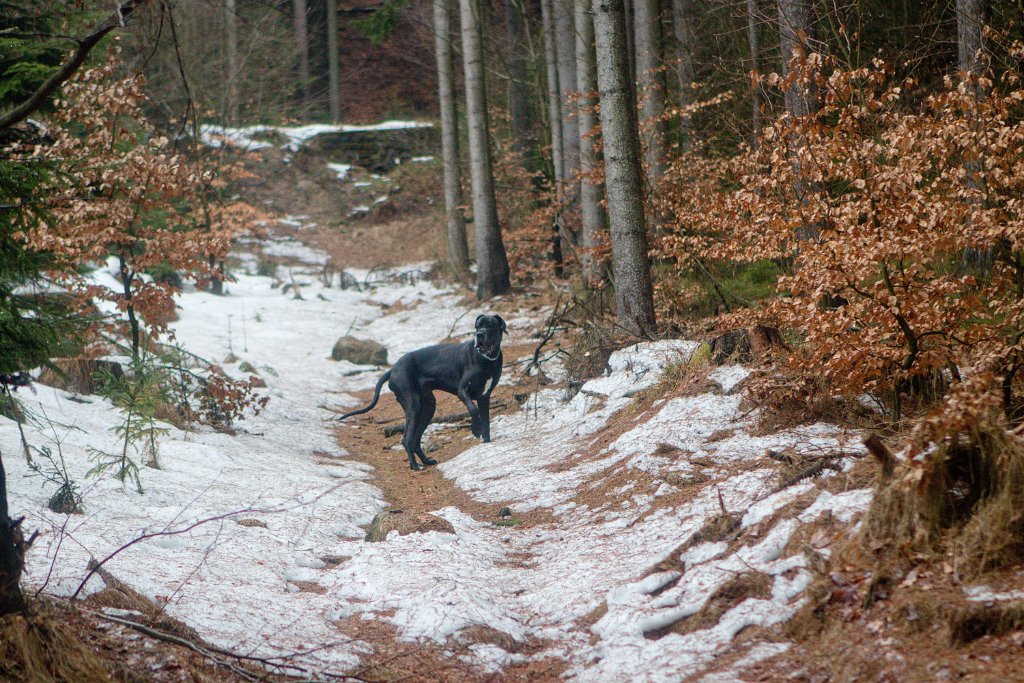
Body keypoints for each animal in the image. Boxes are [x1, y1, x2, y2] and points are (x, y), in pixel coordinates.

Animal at [339, 315, 507, 471]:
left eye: (490, 325)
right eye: (477, 326)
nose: (479, 334)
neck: (486, 360)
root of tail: (393, 369)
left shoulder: (484, 397)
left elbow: (486, 422)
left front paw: (487, 443)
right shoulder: (463, 391)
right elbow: (473, 409)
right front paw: (475, 429)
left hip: (428, 407)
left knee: (415, 439)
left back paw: (426, 461)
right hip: (414, 406)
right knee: (407, 439)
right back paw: (415, 465)